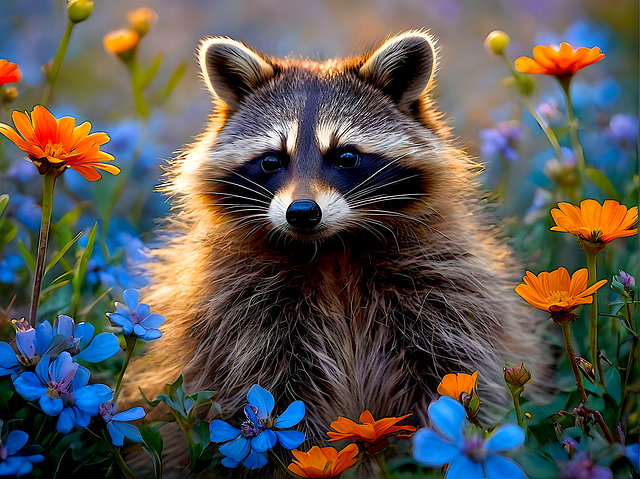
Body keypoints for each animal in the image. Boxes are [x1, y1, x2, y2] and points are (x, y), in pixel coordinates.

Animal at [126, 30, 545, 465]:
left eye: (346, 156)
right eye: (272, 160)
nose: (302, 212)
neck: (332, 249)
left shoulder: (441, 285)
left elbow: (457, 366)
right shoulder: (239, 307)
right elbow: (260, 386)